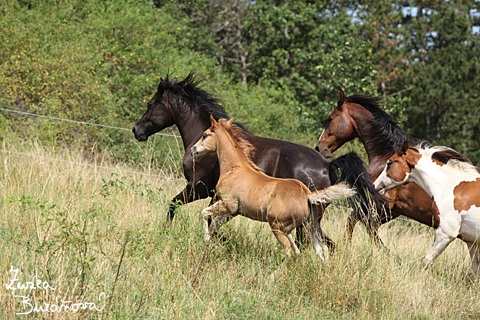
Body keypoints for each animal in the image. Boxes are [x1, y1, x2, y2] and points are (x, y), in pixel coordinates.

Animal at [192, 115, 356, 260]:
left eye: (205, 135)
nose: (193, 150)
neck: (235, 169)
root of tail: (307, 194)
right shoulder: (233, 212)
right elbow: (214, 225)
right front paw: (210, 243)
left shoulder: (228, 205)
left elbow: (204, 214)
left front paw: (207, 241)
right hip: (307, 227)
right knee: (318, 251)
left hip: (277, 225)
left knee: (290, 251)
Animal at [316, 90, 442, 245]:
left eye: (330, 119)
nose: (318, 147)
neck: (386, 155)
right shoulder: (392, 211)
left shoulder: (379, 206)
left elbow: (357, 223)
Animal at [376, 142, 480, 276]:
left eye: (390, 163)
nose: (376, 185)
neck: (450, 186)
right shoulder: (471, 241)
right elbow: (476, 271)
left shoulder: (445, 234)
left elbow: (426, 261)